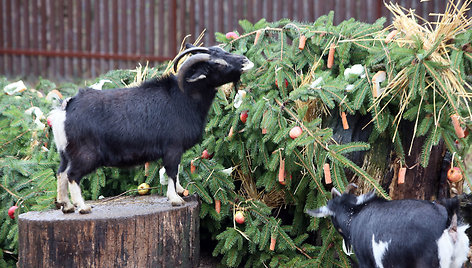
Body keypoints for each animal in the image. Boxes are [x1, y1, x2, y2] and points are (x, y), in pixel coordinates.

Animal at [49, 43, 253, 214]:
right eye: (218, 64)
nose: (245, 61)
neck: (183, 97)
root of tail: (66, 108)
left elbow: (177, 170)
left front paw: (181, 191)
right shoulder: (172, 147)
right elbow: (171, 170)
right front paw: (175, 199)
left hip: (65, 153)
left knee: (61, 172)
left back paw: (66, 206)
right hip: (86, 155)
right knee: (72, 175)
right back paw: (83, 207)